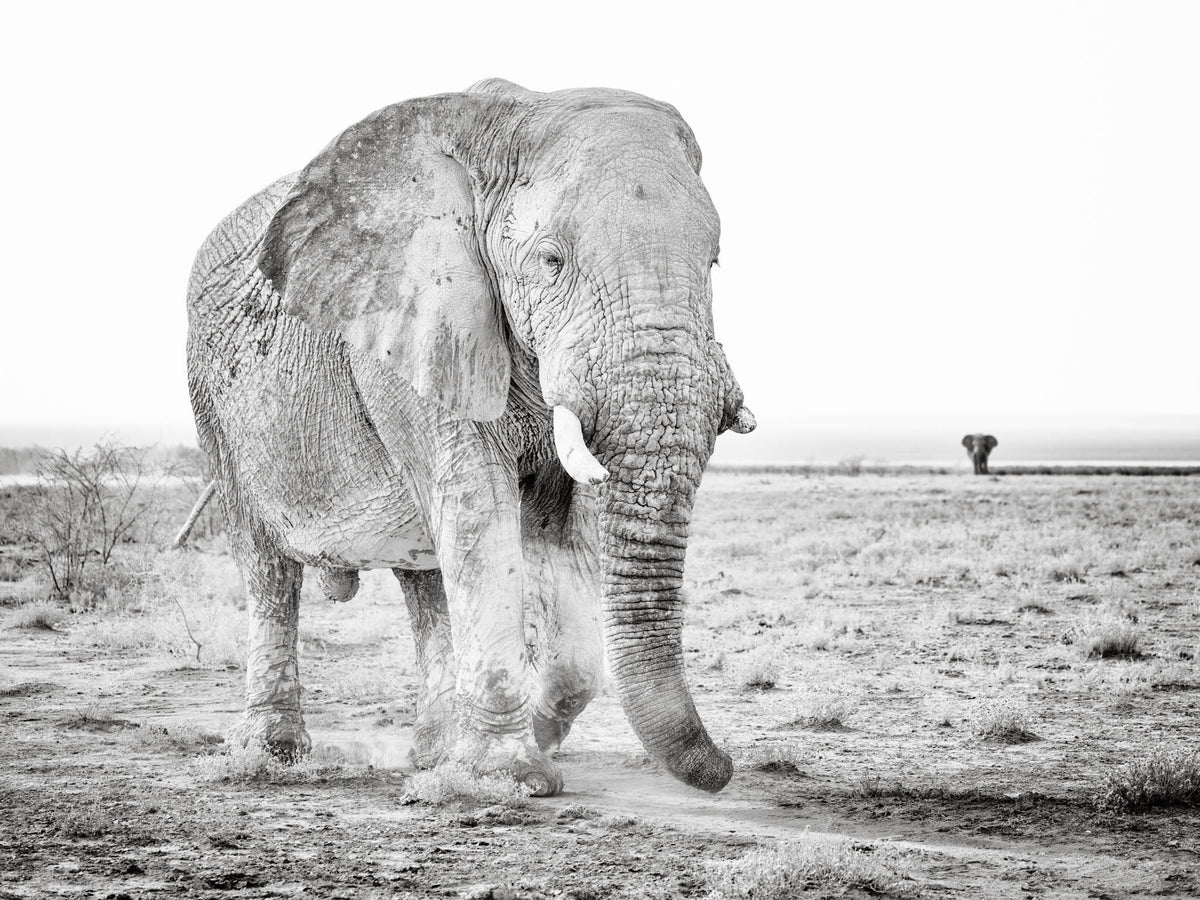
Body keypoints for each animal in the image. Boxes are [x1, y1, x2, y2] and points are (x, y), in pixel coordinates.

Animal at [184, 79, 755, 797]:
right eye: (551, 260)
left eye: (714, 262)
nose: (725, 768)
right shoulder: (414, 326)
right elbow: (479, 508)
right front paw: (508, 779)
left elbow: (564, 529)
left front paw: (515, 749)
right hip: (213, 401)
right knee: (267, 569)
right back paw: (270, 755)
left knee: (424, 577)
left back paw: (431, 753)